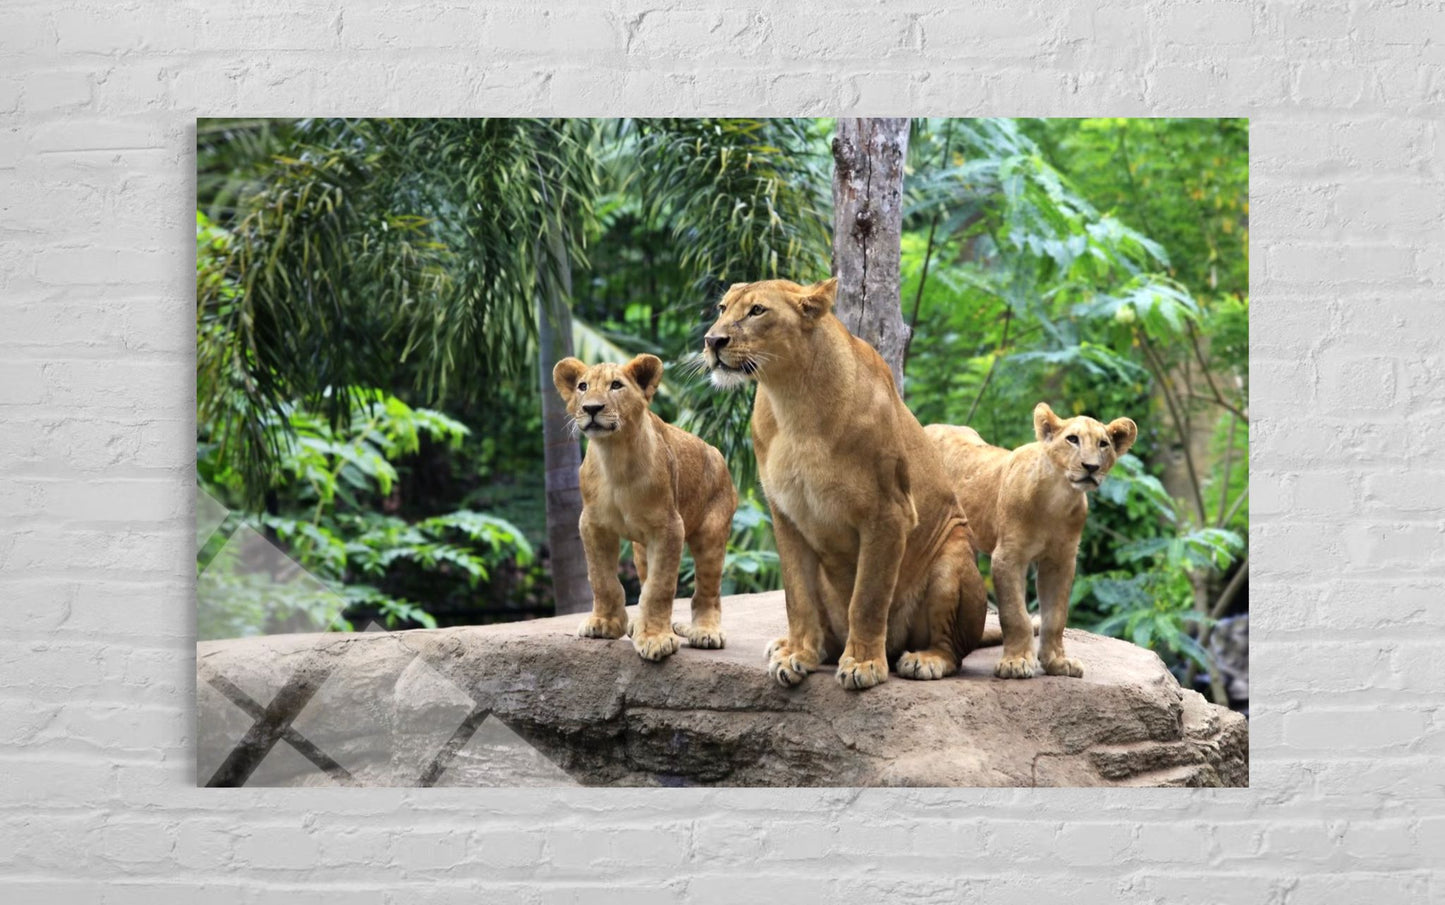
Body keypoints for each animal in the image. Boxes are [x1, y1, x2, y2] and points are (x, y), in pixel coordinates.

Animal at [552, 354, 739, 661]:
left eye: (616, 385)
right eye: (582, 386)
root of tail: (717, 453)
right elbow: (602, 579)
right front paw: (604, 624)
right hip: (640, 548)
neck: (614, 456)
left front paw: (655, 639)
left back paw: (706, 632)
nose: (591, 408)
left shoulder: (669, 528)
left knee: (707, 590)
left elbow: (658, 588)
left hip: (711, 533)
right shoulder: (592, 525)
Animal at [703, 278, 988, 690]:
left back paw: (924, 659)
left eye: (757, 311)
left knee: (952, 647)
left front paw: (863, 664)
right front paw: (797, 656)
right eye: (722, 308)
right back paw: (797, 647)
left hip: (952, 556)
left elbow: (867, 598)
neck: (792, 399)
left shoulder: (889, 514)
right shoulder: (786, 515)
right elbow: (796, 596)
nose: (712, 341)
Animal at [925, 403, 1138, 679]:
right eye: (1072, 439)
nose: (1090, 467)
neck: (1058, 499)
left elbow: (1056, 617)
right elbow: (1015, 613)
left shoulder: (1060, 560)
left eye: (1103, 444)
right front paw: (1015, 662)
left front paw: (1058, 662)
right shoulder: (1008, 556)